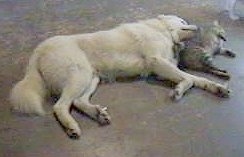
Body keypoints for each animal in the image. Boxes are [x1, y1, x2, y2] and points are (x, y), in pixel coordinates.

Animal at [10, 15, 231, 139]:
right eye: (183, 22)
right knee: (61, 106)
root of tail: (39, 49)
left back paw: (97, 114)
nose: (197, 27)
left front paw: (217, 87)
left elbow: (199, 80)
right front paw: (178, 90)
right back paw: (72, 127)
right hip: (79, 75)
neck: (160, 30)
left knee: (78, 102)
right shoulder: (157, 62)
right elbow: (190, 79)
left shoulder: (162, 69)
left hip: (92, 78)